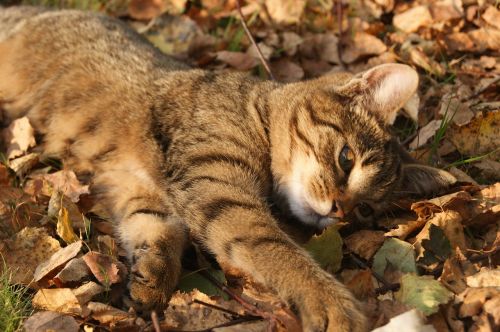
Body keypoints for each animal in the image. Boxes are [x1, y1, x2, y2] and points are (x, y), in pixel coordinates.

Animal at [0, 6, 458, 330]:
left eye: (365, 211)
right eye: (346, 159)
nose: (340, 210)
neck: (258, 113)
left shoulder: (143, 189)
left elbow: (156, 233)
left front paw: (152, 279)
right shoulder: (218, 191)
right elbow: (274, 249)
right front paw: (330, 300)